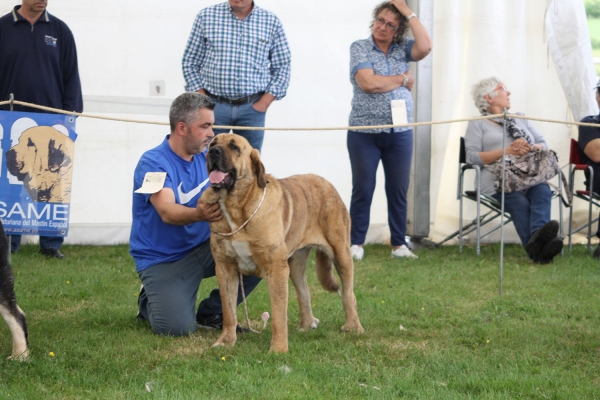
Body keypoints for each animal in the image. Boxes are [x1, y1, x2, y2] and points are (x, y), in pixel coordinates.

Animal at [202, 133, 364, 352]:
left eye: (234, 147)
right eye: (213, 143)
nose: (213, 152)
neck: (236, 209)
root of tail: (327, 183)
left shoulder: (276, 268)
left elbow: (279, 314)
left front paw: (278, 349)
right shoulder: (225, 269)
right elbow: (228, 310)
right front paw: (226, 341)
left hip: (341, 254)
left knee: (348, 293)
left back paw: (353, 327)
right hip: (295, 264)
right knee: (304, 292)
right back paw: (307, 325)